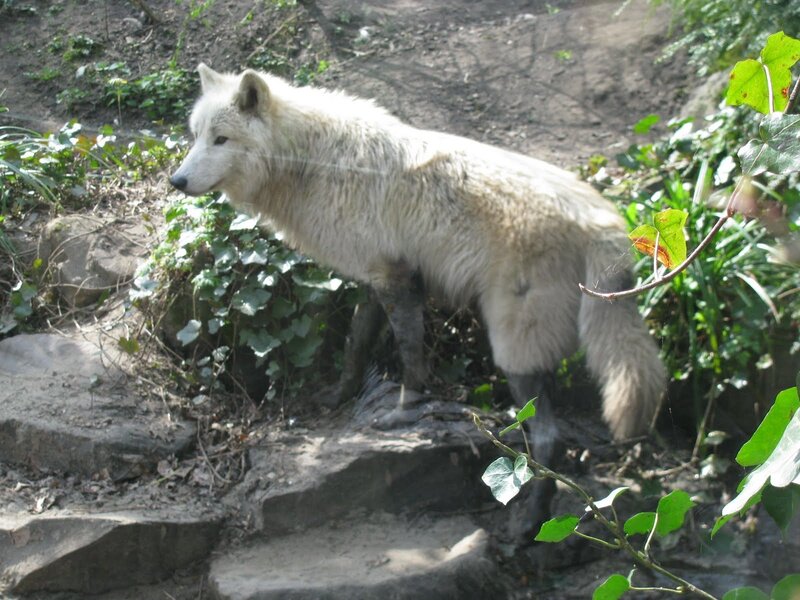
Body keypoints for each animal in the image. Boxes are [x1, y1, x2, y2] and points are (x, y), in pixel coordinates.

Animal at [170, 63, 665, 472]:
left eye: (221, 140)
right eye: (196, 136)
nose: (176, 180)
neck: (315, 162)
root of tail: (605, 222)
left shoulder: (398, 280)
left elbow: (410, 352)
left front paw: (404, 411)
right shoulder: (374, 275)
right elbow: (355, 344)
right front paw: (338, 396)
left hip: (513, 345)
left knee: (547, 437)